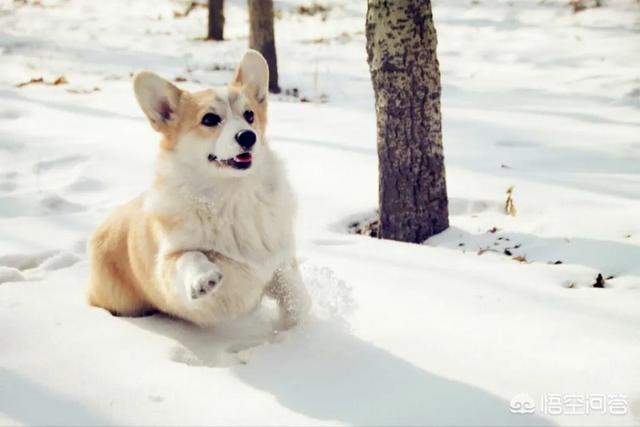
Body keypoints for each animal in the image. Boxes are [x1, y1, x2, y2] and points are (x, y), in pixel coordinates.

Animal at [87, 51, 310, 330]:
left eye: (249, 115)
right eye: (210, 119)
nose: (248, 136)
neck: (232, 193)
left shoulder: (280, 261)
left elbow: (294, 295)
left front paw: (295, 329)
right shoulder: (170, 263)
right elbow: (190, 256)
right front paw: (204, 278)